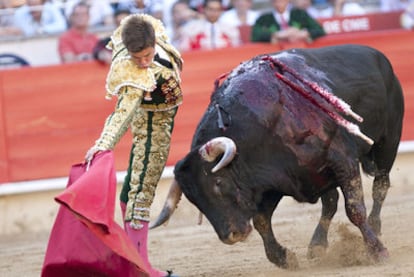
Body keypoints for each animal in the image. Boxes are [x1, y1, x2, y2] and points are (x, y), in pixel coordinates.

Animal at [150, 43, 402, 268]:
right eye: (193, 199)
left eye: (219, 182)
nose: (230, 236)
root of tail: (377, 56)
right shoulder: (272, 179)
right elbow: (261, 221)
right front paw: (284, 258)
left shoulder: (342, 159)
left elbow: (355, 209)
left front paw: (378, 252)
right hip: (320, 174)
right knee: (330, 202)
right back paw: (317, 245)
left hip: (388, 143)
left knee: (380, 186)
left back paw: (374, 227)